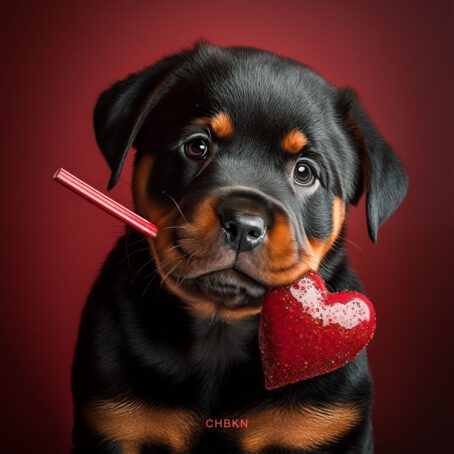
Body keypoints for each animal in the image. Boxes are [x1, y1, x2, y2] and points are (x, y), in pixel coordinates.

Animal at [72, 40, 408, 452]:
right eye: (197, 147)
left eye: (305, 172)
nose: (244, 226)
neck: (221, 327)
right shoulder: (118, 421)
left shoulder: (326, 424)